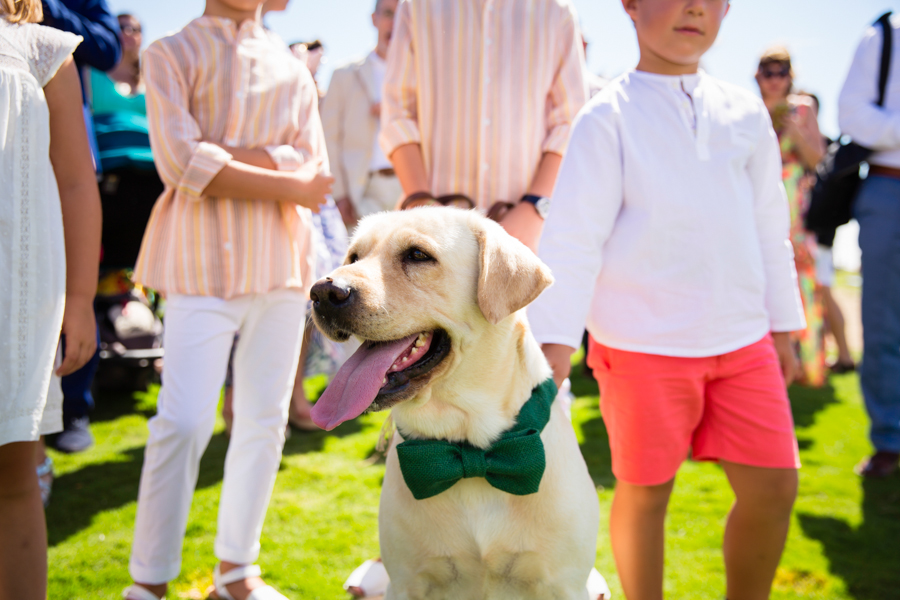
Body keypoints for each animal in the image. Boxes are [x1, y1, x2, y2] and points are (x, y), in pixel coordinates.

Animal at [308, 209, 596, 596]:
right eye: (353, 257)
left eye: (417, 255)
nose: (322, 292)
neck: (468, 451)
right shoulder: (405, 582)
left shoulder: (563, 584)